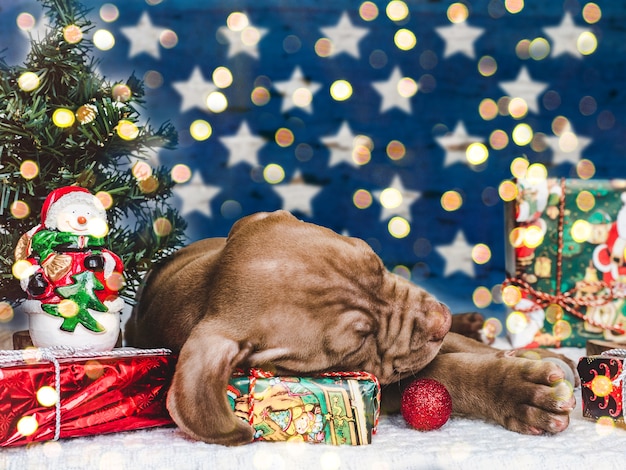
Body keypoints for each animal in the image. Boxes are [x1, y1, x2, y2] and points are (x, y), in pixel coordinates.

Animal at [124, 211, 576, 446]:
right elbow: (447, 371)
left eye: (375, 262)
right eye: (358, 340)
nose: (442, 319)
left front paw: (539, 355)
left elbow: (464, 350)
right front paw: (523, 392)